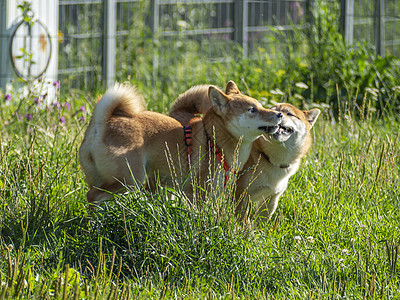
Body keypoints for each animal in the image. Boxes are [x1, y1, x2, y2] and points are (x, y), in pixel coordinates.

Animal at [79, 81, 282, 205]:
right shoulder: (198, 193)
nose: (279, 114)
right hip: (130, 180)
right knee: (93, 196)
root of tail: (102, 123)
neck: (214, 140)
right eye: (253, 110)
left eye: (261, 105)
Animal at [170, 83, 320, 219]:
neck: (269, 159)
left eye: (289, 113)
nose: (280, 114)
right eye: (270, 108)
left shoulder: (271, 200)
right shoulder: (240, 195)